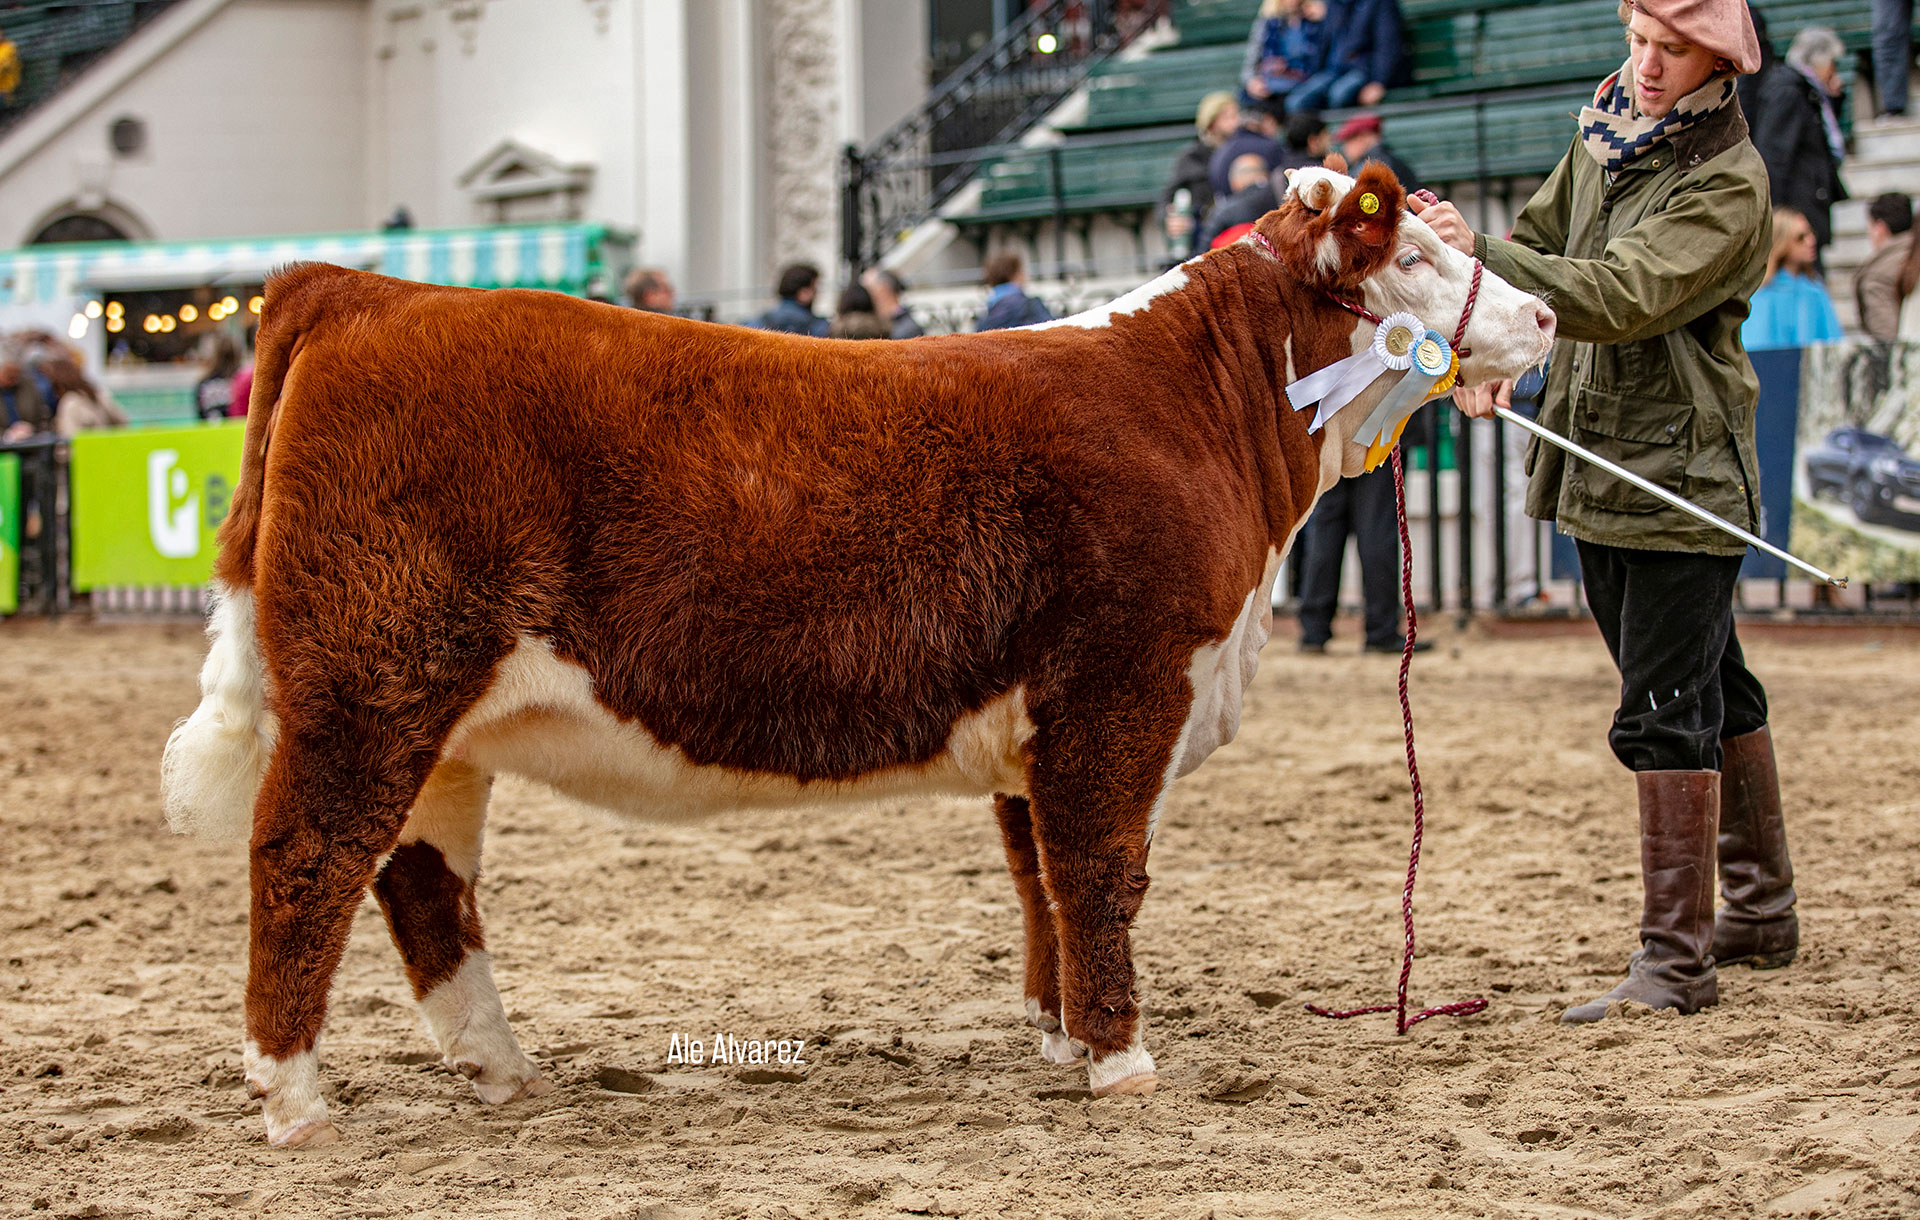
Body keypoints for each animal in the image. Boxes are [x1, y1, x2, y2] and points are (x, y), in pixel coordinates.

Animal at [161, 162, 1543, 1145]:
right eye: (1418, 253)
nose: (1538, 311)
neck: (1200, 404)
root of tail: (362, 289)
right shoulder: (1123, 680)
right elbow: (1103, 870)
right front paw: (1123, 1059)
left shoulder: (1036, 717)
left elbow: (1037, 874)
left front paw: (1056, 1034)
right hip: (372, 684)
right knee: (305, 858)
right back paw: (295, 1100)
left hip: (440, 720)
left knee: (421, 881)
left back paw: (501, 1069)